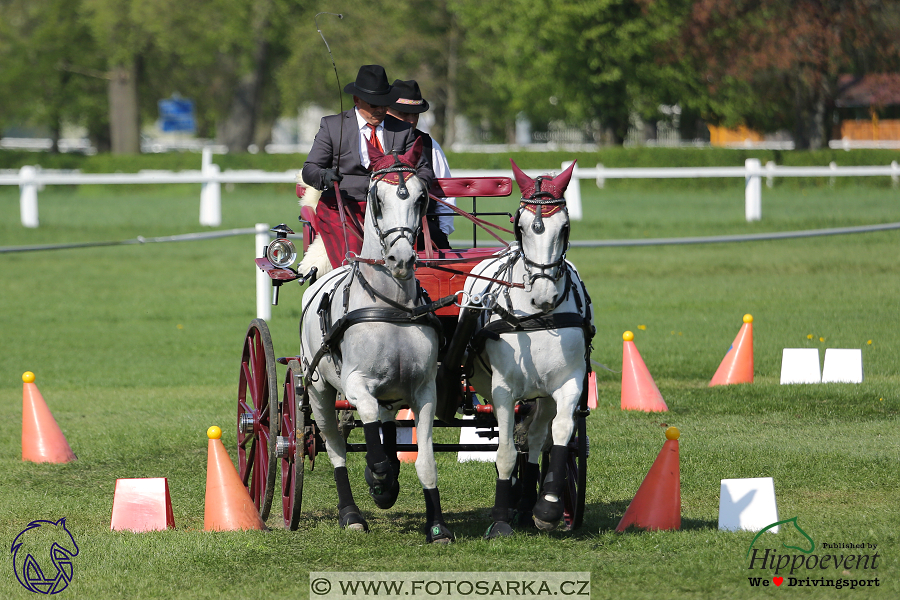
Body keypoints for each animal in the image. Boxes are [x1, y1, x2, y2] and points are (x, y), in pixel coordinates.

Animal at [298, 138, 454, 540]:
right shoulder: (356, 384)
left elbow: (425, 461)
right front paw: (379, 480)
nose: (401, 259)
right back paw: (351, 513)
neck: (389, 305)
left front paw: (437, 526)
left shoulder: (424, 390)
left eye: (421, 197)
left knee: (384, 423)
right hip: (318, 391)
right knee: (335, 446)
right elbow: (366, 423)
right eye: (377, 199)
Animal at [460, 161, 596, 540]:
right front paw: (500, 518)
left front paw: (547, 507)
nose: (544, 295)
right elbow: (505, 451)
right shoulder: (503, 390)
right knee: (514, 441)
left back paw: (527, 503)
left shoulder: (568, 383)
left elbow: (560, 435)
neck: (538, 319)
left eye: (564, 227)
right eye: (520, 227)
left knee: (534, 441)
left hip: (542, 395)